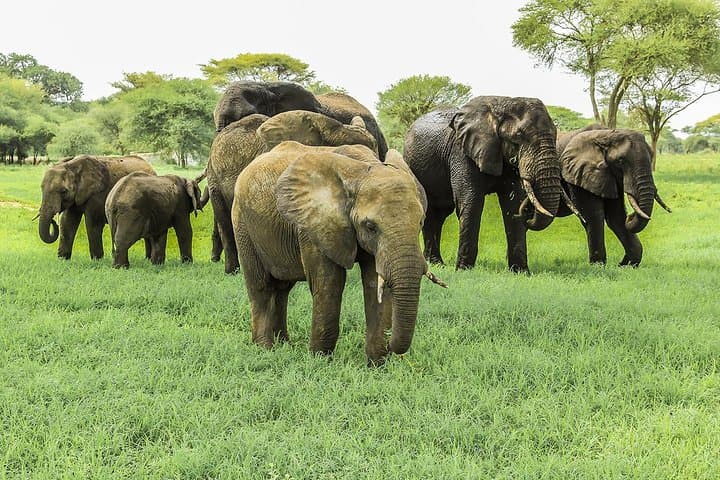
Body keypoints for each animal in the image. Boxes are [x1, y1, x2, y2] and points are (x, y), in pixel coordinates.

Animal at [231, 141, 445, 364]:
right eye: (370, 226)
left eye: (420, 222)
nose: (393, 348)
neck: (363, 169)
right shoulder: (313, 225)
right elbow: (329, 284)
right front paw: (320, 360)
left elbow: (374, 283)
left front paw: (376, 364)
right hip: (242, 223)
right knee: (261, 286)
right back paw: (265, 349)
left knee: (282, 289)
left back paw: (284, 345)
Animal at [404, 96, 577, 272]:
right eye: (518, 136)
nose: (527, 214)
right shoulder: (462, 153)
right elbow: (472, 203)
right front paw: (464, 270)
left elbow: (512, 204)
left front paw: (520, 272)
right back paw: (436, 263)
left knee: (440, 214)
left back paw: (437, 263)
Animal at [556, 127, 672, 266]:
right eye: (621, 161)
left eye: (652, 155)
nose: (631, 215)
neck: (604, 134)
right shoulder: (578, 175)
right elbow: (593, 217)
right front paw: (598, 266)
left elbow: (616, 217)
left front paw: (626, 265)